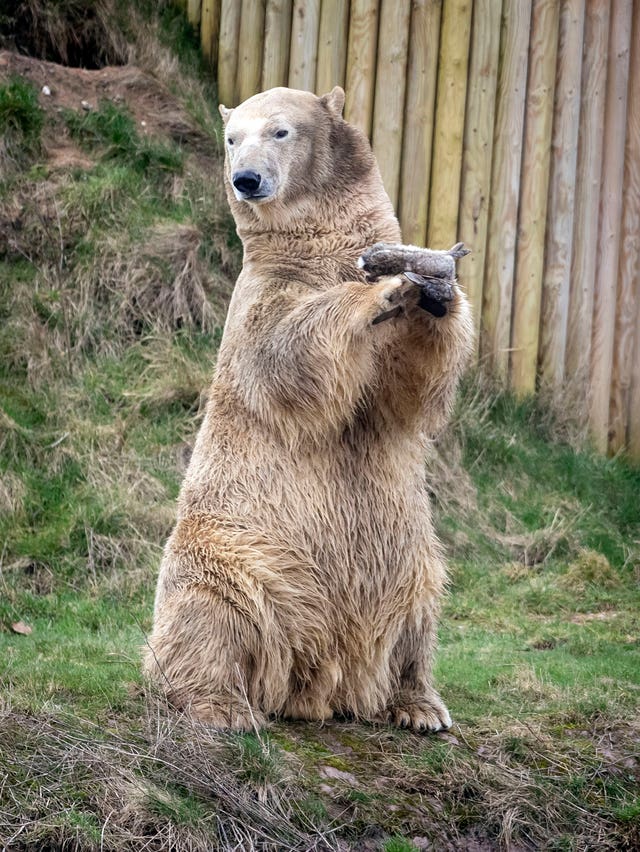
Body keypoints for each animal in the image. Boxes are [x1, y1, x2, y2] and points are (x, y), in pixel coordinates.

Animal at [145, 86, 476, 732]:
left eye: (280, 131)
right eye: (231, 138)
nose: (246, 179)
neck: (320, 247)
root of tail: (312, 683)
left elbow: (411, 384)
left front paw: (430, 284)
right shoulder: (259, 297)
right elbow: (288, 351)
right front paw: (383, 290)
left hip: (409, 550)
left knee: (418, 613)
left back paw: (419, 704)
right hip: (240, 551)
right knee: (212, 615)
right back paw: (219, 703)